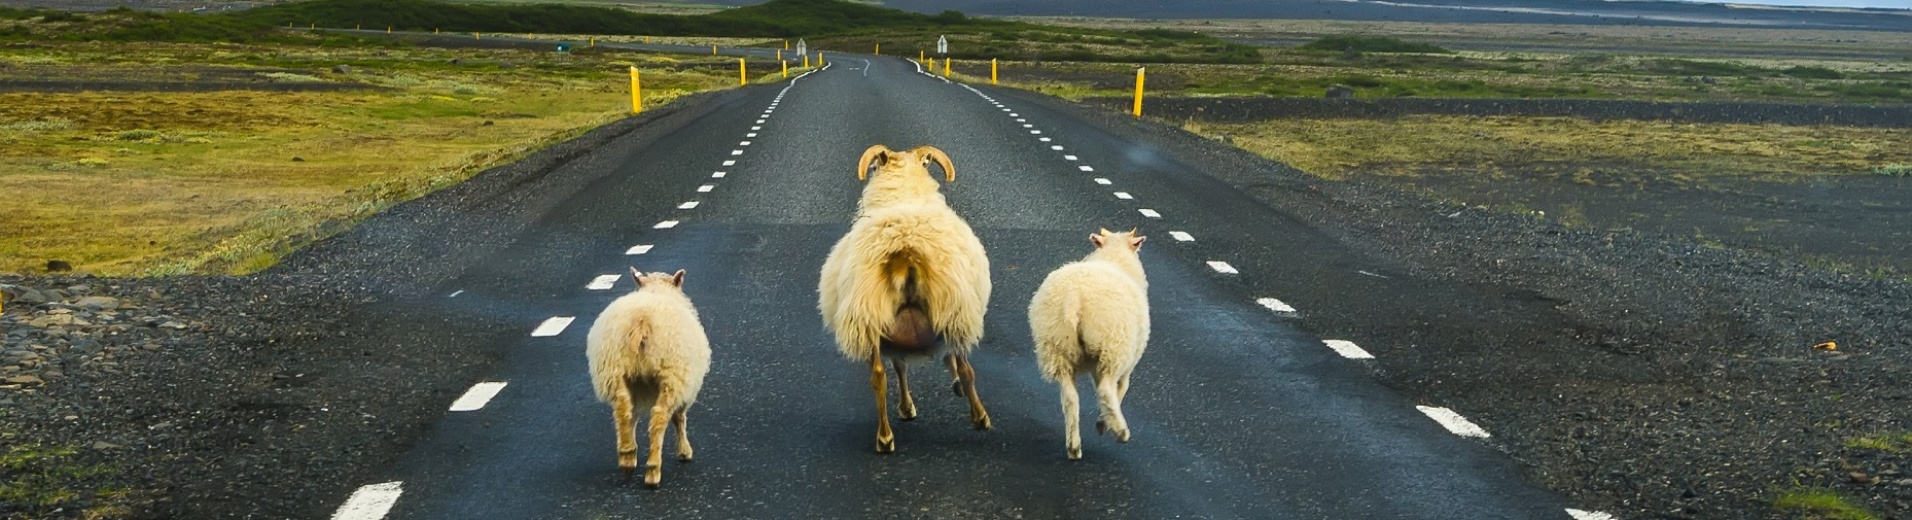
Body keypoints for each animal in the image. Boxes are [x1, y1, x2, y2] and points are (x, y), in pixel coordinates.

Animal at [585, 267, 715, 487]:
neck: (657, 290)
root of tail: (641, 320)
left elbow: (634, 416)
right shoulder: (684, 383)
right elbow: (679, 417)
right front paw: (684, 451)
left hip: (614, 371)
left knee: (623, 411)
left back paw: (627, 457)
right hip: (671, 375)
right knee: (659, 419)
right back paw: (653, 470)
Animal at [818, 144, 994, 453]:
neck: (903, 195)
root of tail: (905, 250)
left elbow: (900, 365)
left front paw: (907, 407)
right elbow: (951, 364)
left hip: (873, 316)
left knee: (879, 374)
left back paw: (885, 437)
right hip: (953, 311)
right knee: (965, 367)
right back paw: (979, 416)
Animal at [1032, 227, 1147, 458]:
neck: (1115, 259)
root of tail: (1073, 299)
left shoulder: (1096, 364)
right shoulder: (1125, 363)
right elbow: (1121, 389)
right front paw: (1104, 422)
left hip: (1057, 347)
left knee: (1070, 399)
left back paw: (1074, 447)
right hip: (1112, 348)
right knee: (1105, 391)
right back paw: (1120, 431)